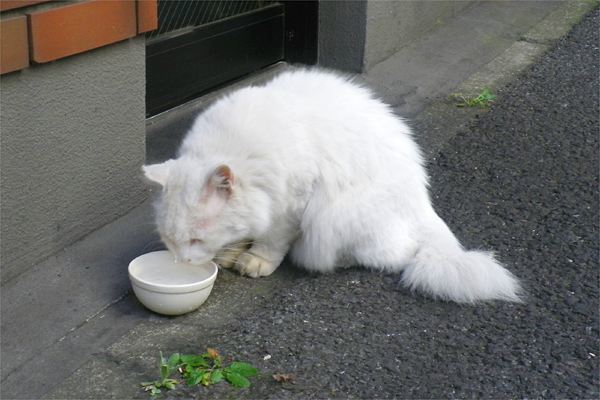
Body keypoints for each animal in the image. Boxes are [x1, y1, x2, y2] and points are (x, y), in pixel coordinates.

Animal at [144, 69, 520, 302]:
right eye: (170, 241)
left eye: (196, 240)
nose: (183, 262)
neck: (234, 149)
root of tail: (424, 203)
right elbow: (242, 232)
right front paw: (233, 252)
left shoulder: (291, 203)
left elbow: (271, 239)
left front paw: (254, 261)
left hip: (338, 217)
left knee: (393, 255)